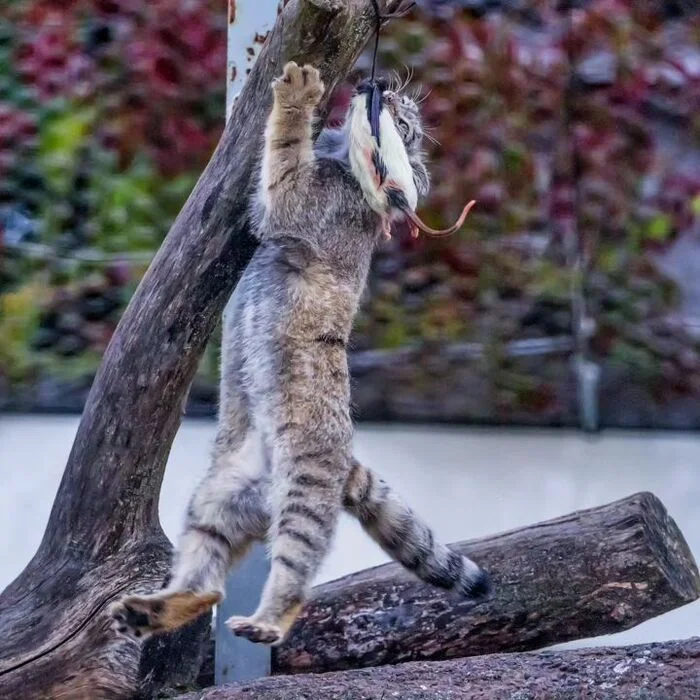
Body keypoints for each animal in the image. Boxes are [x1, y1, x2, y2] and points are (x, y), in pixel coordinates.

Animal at [112, 61, 490, 644]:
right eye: (403, 107)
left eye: (403, 122)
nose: (386, 89)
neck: (343, 163)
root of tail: (347, 463)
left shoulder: (295, 197)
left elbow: (285, 148)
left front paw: (298, 95)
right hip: (218, 498)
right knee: (208, 585)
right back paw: (153, 611)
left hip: (302, 496)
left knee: (294, 573)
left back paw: (266, 623)